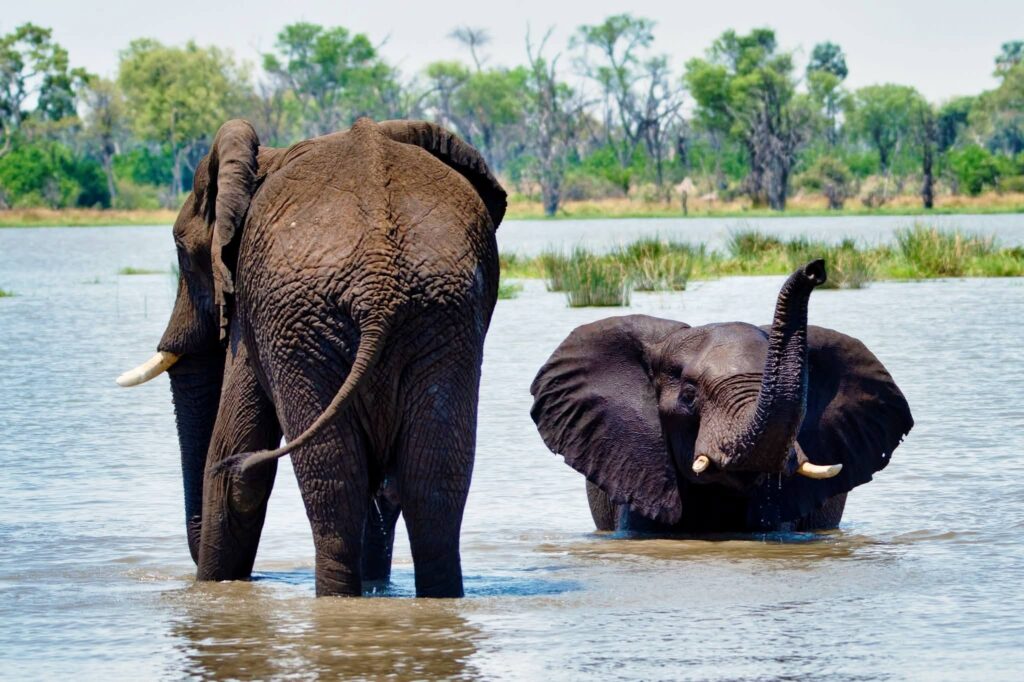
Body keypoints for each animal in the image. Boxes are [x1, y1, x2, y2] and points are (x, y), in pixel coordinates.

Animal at [117, 117, 506, 597]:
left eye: (181, 254)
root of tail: (380, 284)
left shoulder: (253, 317)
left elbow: (232, 456)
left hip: (303, 324)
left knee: (332, 481)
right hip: (440, 321)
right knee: (431, 477)